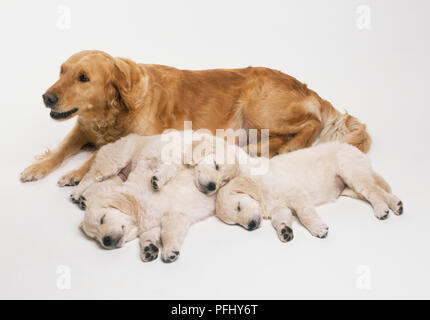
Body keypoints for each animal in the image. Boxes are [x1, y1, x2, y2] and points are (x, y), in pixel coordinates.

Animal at [19, 49, 370, 185]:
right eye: (61, 71)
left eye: (83, 78)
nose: (46, 97)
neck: (111, 112)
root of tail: (306, 86)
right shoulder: (80, 129)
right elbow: (61, 149)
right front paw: (38, 167)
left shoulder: (138, 137)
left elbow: (97, 155)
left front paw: (75, 173)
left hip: (258, 104)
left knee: (311, 124)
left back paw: (291, 146)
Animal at [215, 141, 404, 241]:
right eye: (235, 224)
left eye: (239, 207)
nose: (251, 226)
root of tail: (351, 147)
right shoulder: (279, 208)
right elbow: (279, 220)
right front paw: (284, 231)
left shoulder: (296, 194)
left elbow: (305, 215)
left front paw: (317, 228)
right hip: (351, 187)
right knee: (378, 190)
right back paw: (396, 204)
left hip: (353, 174)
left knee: (374, 191)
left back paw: (382, 209)